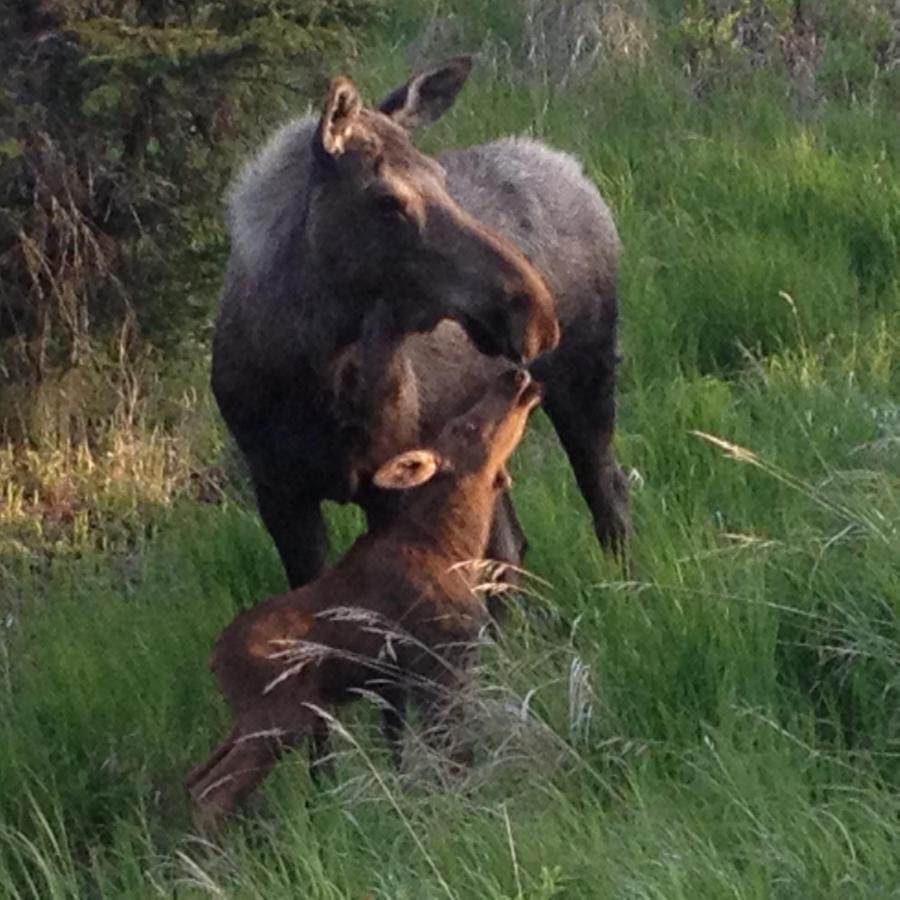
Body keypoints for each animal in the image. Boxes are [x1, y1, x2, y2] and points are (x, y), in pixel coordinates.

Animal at [186, 362, 544, 828]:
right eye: (463, 426)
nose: (515, 376)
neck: (453, 546)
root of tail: (214, 660)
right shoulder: (439, 660)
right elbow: (452, 750)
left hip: (252, 717)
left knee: (195, 778)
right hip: (280, 714)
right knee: (213, 793)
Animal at [214, 54, 628, 592]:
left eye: (441, 178)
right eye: (386, 200)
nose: (534, 311)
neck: (310, 373)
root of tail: (571, 167)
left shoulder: (389, 481)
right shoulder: (279, 492)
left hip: (587, 376)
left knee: (607, 490)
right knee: (509, 544)